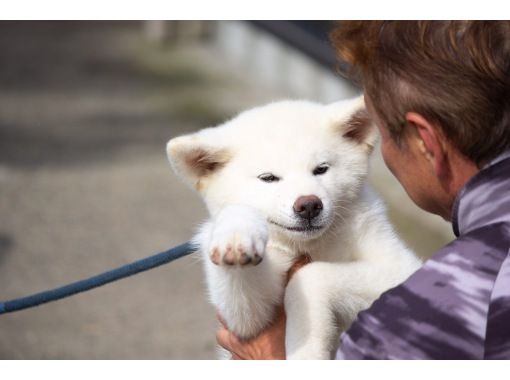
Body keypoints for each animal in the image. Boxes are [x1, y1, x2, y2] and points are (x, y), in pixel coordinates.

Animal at [165, 96, 420, 358]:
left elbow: (308, 276)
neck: (310, 245)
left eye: (321, 169)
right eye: (268, 178)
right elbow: (247, 310)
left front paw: (307, 351)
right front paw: (236, 236)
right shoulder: (248, 323)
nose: (309, 205)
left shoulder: (399, 266)